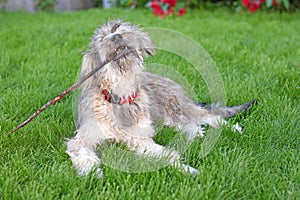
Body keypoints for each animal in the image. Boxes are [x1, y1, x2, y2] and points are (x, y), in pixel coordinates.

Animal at [66, 19, 255, 177]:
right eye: (103, 38)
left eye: (120, 29)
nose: (117, 36)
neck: (120, 96)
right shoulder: (83, 139)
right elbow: (83, 153)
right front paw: (91, 173)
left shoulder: (140, 139)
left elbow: (167, 154)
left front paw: (187, 169)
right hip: (170, 118)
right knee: (192, 125)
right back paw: (196, 133)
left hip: (177, 108)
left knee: (210, 117)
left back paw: (233, 129)